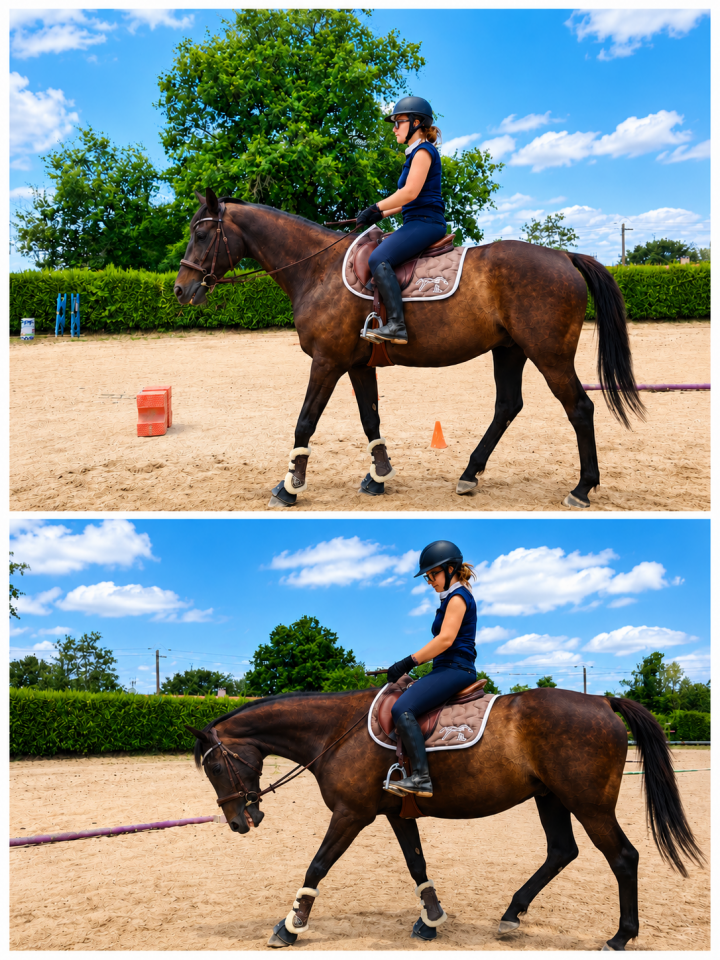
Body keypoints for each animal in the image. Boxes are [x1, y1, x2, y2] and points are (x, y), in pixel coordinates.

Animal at [174, 188, 645, 510]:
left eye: (202, 232)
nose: (181, 290)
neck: (318, 269)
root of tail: (564, 257)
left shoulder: (327, 362)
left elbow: (305, 422)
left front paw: (289, 487)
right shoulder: (357, 364)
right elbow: (370, 419)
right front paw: (378, 477)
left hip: (549, 356)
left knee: (580, 409)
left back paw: (581, 488)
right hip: (509, 350)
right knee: (508, 406)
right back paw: (469, 475)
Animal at [186, 686, 702, 951]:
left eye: (214, 767)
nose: (239, 821)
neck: (336, 731)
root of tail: (601, 701)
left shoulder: (352, 814)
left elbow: (317, 865)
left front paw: (290, 926)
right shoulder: (394, 813)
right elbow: (417, 863)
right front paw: (430, 919)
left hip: (588, 804)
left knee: (623, 857)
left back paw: (620, 936)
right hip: (551, 798)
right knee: (561, 851)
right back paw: (511, 915)